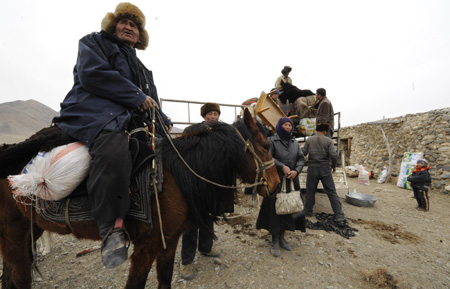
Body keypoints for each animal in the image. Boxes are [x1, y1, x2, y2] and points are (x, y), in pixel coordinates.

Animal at [0, 109, 280, 286]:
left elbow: (164, 279)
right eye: (266, 146)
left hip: (30, 229)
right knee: (19, 277)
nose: (277, 184)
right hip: (12, 234)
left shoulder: (169, 242)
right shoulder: (146, 247)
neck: (176, 177)